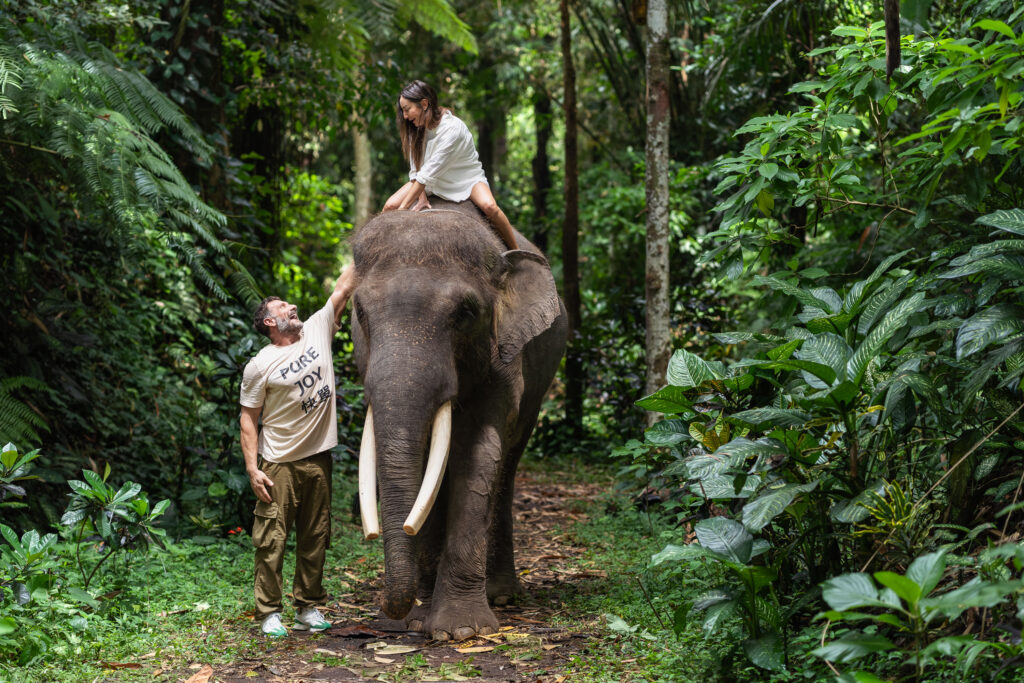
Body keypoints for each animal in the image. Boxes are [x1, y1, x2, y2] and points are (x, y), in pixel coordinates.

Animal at [350, 198, 567, 641]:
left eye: (465, 312)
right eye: (360, 312)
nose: (394, 613)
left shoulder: (505, 360)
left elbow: (477, 453)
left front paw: (460, 631)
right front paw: (420, 619)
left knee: (508, 465)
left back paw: (502, 595)